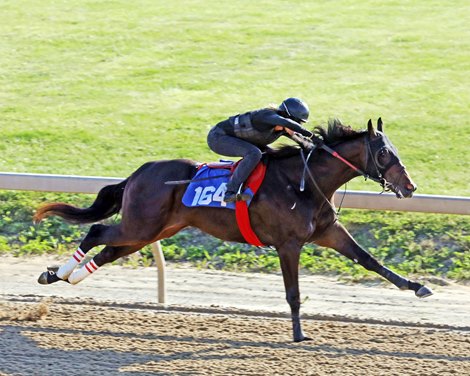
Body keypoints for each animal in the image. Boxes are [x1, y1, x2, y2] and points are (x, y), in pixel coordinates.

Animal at [35, 119, 432, 342]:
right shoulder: (288, 244)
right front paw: (299, 333)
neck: (303, 182)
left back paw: (63, 276)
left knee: (106, 250)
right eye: (383, 153)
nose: (410, 187)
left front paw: (417, 287)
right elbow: (293, 293)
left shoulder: (328, 231)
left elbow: (370, 261)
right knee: (97, 232)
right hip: (141, 224)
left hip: (151, 231)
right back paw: (56, 273)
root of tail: (137, 173)